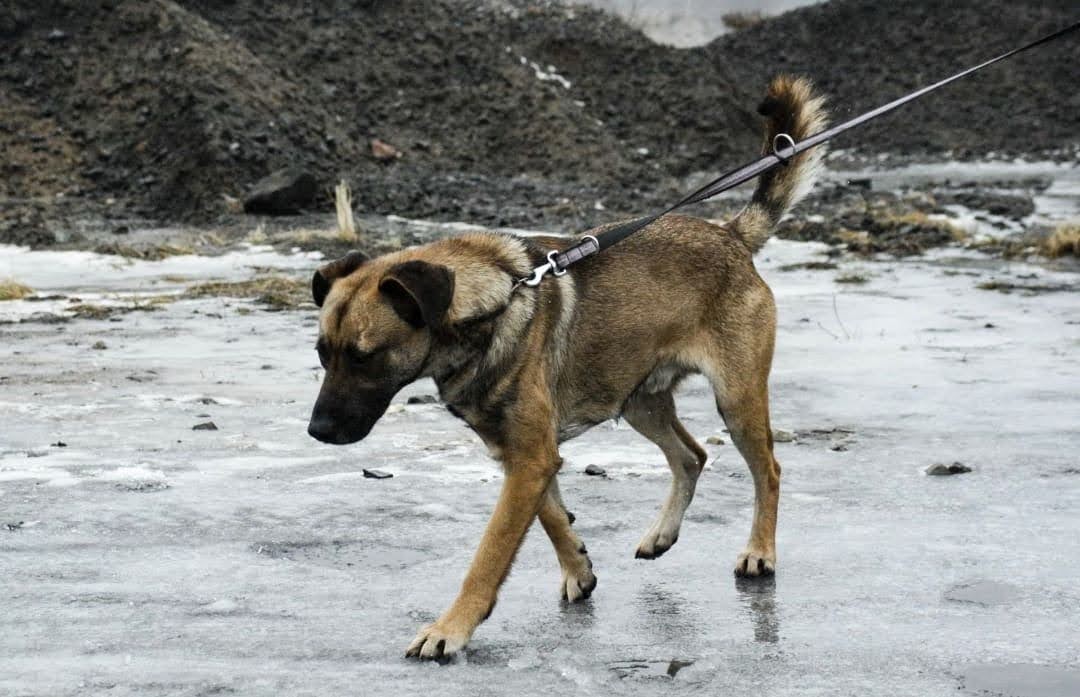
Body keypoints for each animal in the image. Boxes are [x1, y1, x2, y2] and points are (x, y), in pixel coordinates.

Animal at [307, 75, 827, 660]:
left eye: (364, 355)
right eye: (322, 353)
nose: (316, 431)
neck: (493, 303)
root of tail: (731, 235)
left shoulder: (529, 459)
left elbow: (489, 553)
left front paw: (450, 628)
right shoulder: (523, 456)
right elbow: (552, 514)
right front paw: (578, 569)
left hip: (735, 400)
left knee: (768, 472)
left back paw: (759, 552)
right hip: (637, 399)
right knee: (690, 456)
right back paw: (662, 534)